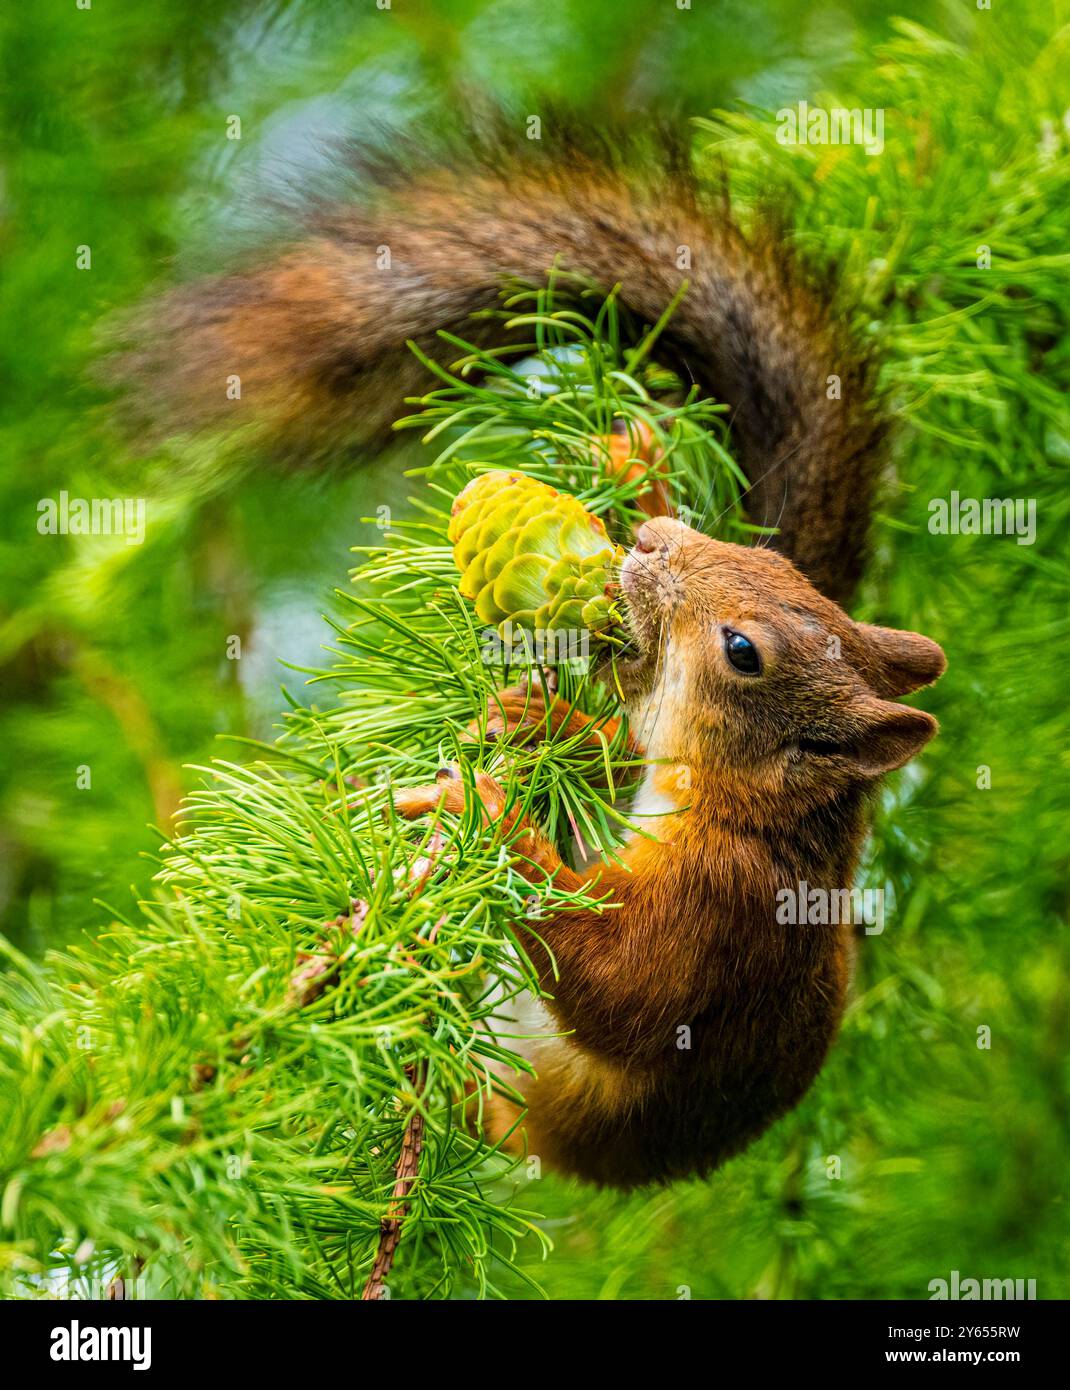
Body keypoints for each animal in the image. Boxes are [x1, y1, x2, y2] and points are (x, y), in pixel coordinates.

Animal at [117, 130, 947, 1188]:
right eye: (766, 562)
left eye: (743, 650)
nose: (653, 545)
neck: (735, 807)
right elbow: (609, 755)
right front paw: (546, 719)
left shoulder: (718, 913)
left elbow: (618, 987)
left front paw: (495, 815)